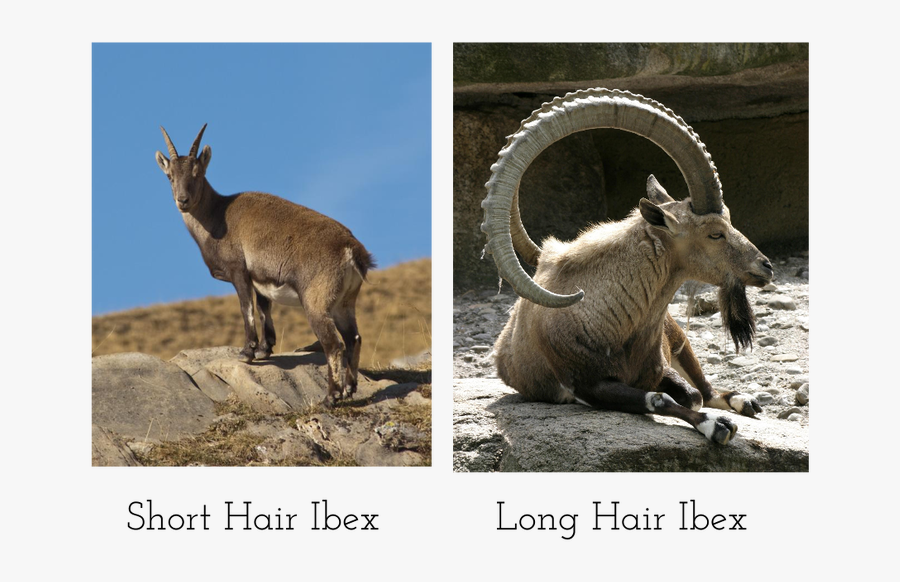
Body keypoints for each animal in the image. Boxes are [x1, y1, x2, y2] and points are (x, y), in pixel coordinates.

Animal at [155, 124, 375, 406]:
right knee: (354, 339)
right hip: (344, 303)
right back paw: (349, 388)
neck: (216, 217)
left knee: (334, 344)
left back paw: (331, 397)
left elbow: (246, 309)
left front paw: (247, 352)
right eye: (170, 176)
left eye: (198, 173)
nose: (182, 200)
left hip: (316, 301)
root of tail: (351, 249)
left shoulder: (238, 271)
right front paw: (264, 349)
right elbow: (263, 309)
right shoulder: (259, 279)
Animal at [481, 88, 774, 444]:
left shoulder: (659, 367)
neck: (612, 319)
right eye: (715, 233)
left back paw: (746, 401)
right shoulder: (587, 386)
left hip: (679, 337)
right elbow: (661, 398)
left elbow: (691, 394)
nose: (766, 266)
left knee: (706, 387)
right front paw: (715, 426)